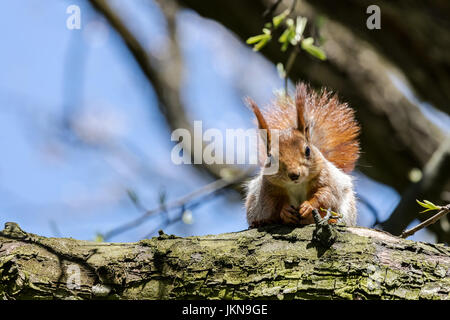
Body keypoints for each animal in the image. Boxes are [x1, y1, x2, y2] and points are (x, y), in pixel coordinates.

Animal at [244, 82, 360, 228]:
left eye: (308, 150)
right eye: (270, 157)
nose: (294, 175)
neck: (297, 185)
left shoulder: (326, 178)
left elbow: (326, 194)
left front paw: (308, 206)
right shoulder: (269, 188)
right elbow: (273, 204)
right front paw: (285, 211)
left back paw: (333, 220)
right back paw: (262, 222)